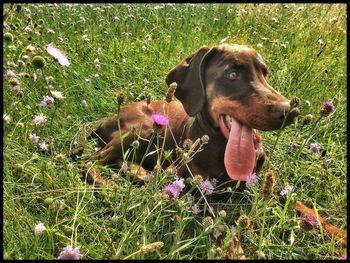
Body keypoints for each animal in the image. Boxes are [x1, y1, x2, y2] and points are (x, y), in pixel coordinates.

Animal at [78, 43, 298, 188]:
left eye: (264, 73)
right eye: (232, 74)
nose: (291, 111)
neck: (221, 146)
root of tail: (104, 121)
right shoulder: (183, 174)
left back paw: (136, 171)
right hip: (143, 128)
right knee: (89, 161)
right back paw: (109, 186)